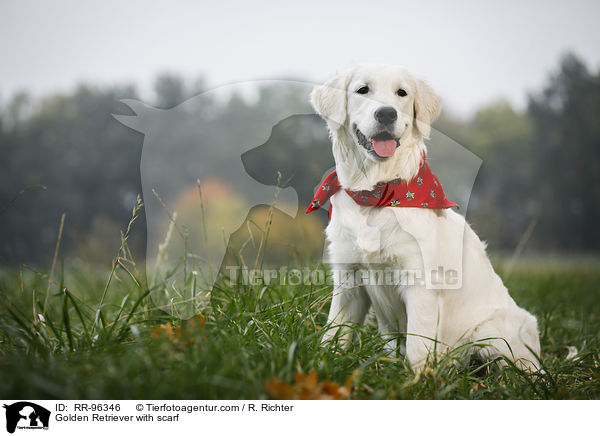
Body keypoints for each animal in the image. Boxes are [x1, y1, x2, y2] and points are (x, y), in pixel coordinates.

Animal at [312, 64, 540, 372]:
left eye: (402, 93)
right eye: (362, 90)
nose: (387, 114)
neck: (376, 195)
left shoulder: (420, 283)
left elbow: (417, 347)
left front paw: (417, 379)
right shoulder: (349, 281)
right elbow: (334, 333)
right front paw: (323, 364)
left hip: (492, 334)